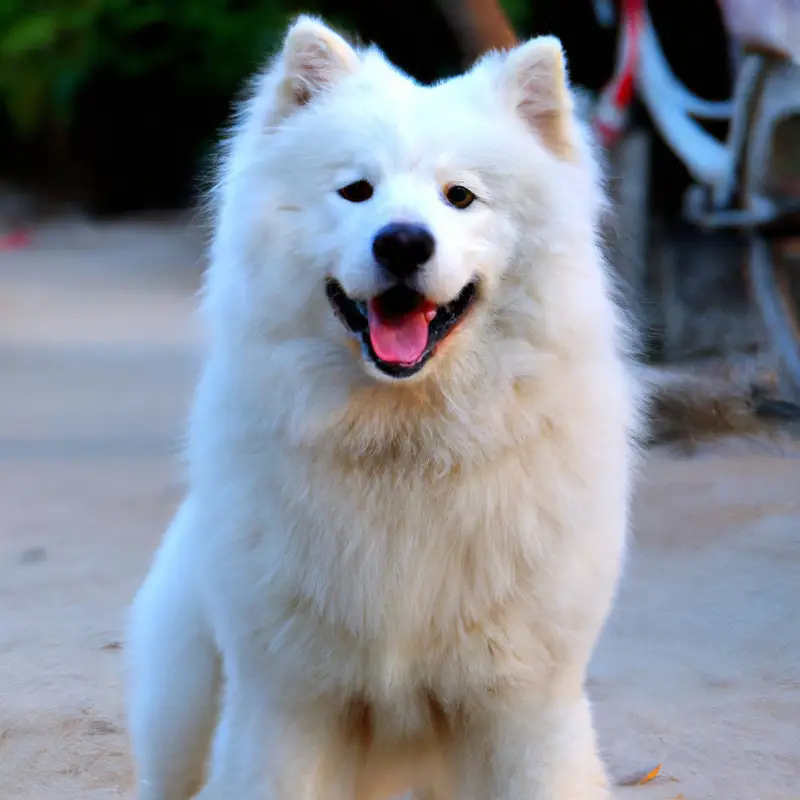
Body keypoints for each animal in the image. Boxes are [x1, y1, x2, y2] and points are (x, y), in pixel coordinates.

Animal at [126, 14, 644, 800]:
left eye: (460, 196)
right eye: (356, 191)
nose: (402, 241)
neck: (408, 445)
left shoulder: (525, 703)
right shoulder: (287, 703)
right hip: (181, 709)